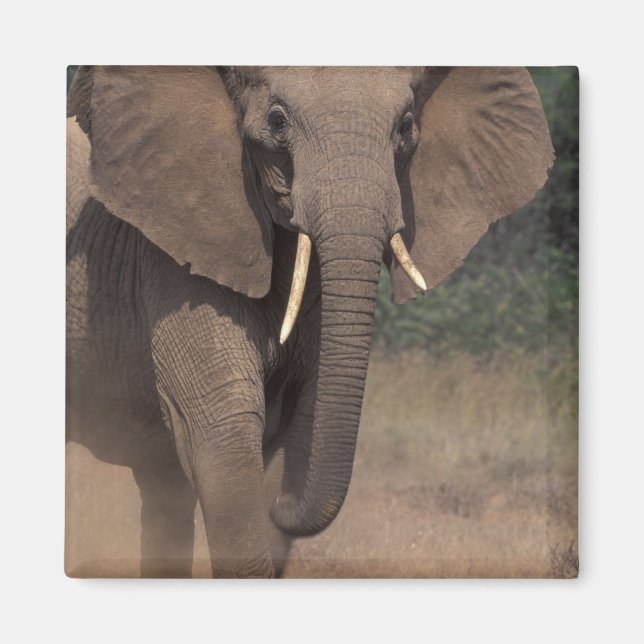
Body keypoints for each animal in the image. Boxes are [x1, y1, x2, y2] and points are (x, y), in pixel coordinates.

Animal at [66, 66, 554, 578]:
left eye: (405, 126)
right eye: (277, 121)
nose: (280, 504)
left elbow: (304, 419)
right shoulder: (173, 255)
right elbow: (223, 430)